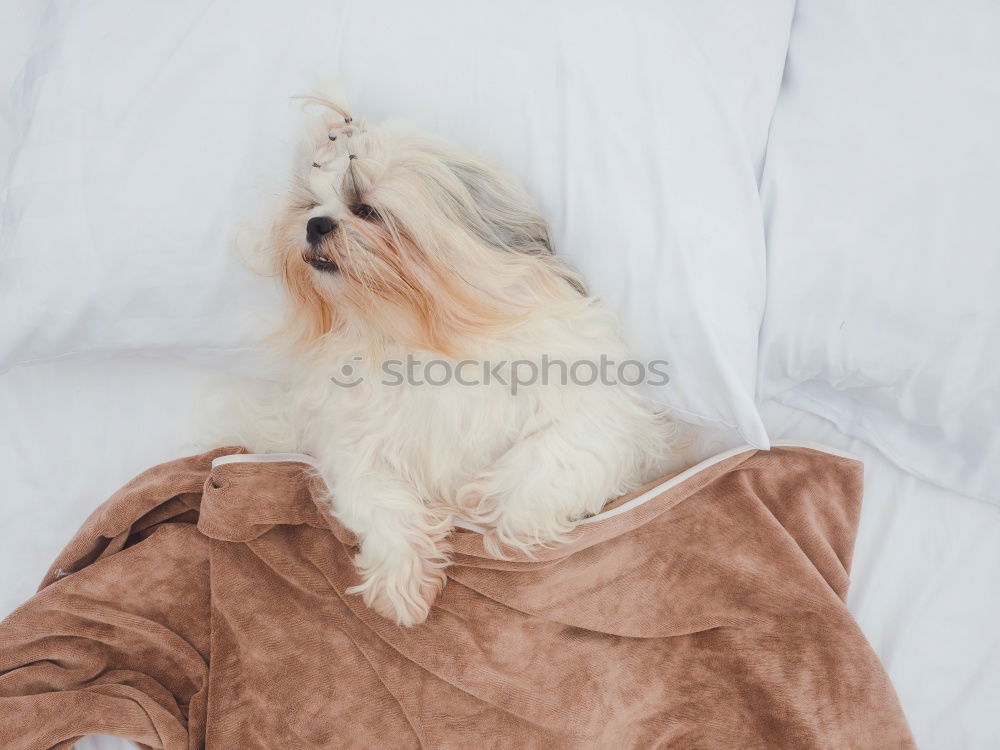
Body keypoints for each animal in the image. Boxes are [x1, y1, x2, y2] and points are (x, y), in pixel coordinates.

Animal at [240, 98, 680, 628]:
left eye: (366, 208)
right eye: (308, 205)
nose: (314, 224)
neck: (415, 332)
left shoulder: (597, 416)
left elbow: (539, 469)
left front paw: (478, 502)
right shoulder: (351, 442)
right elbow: (377, 500)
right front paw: (402, 583)